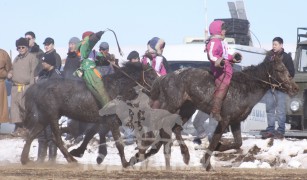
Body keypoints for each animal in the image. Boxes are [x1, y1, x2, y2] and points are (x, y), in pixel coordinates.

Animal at [20, 62, 159, 167]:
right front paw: (126, 162)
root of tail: (37, 88)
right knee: (56, 139)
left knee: (32, 135)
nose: (156, 94)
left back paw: (25, 159)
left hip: (44, 118)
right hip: (52, 116)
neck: (117, 90)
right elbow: (119, 142)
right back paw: (71, 160)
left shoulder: (115, 120)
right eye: (152, 76)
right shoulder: (112, 120)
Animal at [131, 56, 300, 170]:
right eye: (280, 70)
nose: (295, 88)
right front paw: (206, 162)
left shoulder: (235, 121)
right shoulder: (224, 120)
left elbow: (238, 142)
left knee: (174, 129)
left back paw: (183, 155)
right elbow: (215, 139)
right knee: (159, 126)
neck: (245, 87)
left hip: (187, 108)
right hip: (170, 106)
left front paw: (216, 150)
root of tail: (164, 78)